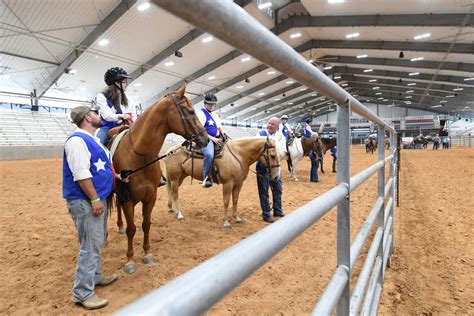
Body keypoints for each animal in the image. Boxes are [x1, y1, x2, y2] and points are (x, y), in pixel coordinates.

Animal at [112, 84, 208, 274]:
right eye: (190, 111)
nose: (206, 138)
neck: (138, 156)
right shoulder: (128, 198)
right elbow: (131, 229)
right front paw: (130, 261)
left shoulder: (150, 197)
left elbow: (146, 224)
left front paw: (147, 254)